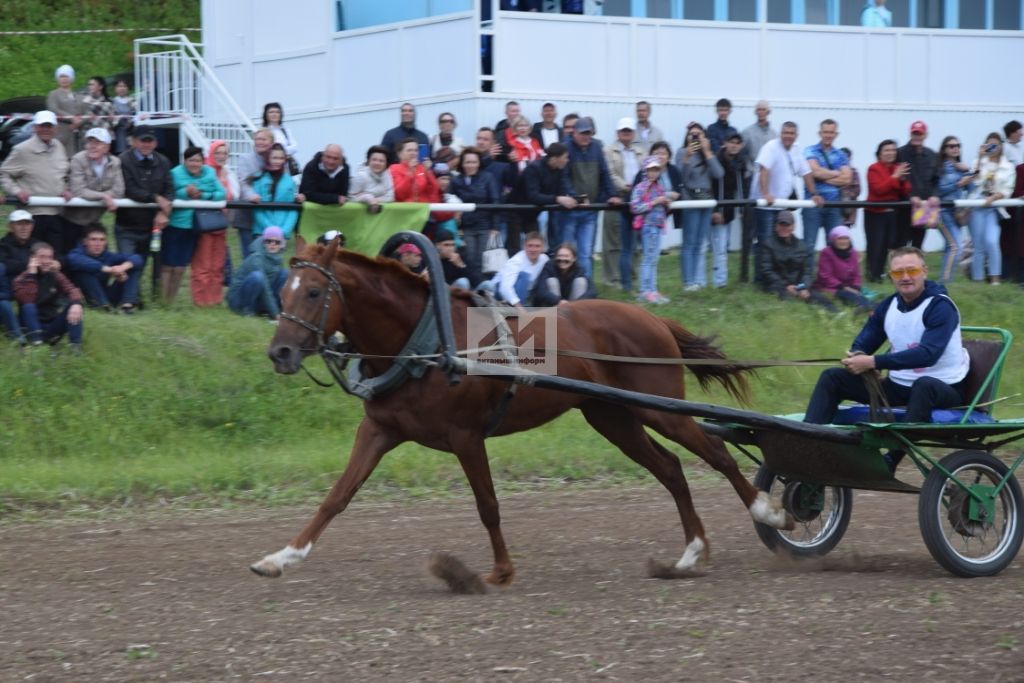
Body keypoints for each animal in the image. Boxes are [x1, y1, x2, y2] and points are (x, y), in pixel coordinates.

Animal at [249, 239, 790, 581]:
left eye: (314, 292)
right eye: (284, 291)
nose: (279, 352)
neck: (427, 343)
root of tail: (652, 317)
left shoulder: (466, 437)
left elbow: (488, 505)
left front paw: (500, 571)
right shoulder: (379, 430)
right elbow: (336, 497)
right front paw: (281, 557)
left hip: (663, 410)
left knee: (716, 453)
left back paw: (769, 511)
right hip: (613, 417)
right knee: (673, 469)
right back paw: (690, 554)